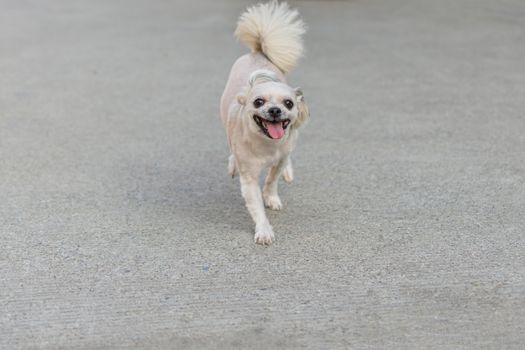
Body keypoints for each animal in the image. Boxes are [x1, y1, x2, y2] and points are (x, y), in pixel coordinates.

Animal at [220, 0, 310, 246]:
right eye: (258, 101)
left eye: (288, 103)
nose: (275, 110)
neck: (267, 144)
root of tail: (258, 51)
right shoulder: (249, 178)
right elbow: (256, 206)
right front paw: (264, 230)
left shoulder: (279, 158)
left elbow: (272, 179)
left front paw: (271, 198)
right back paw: (232, 163)